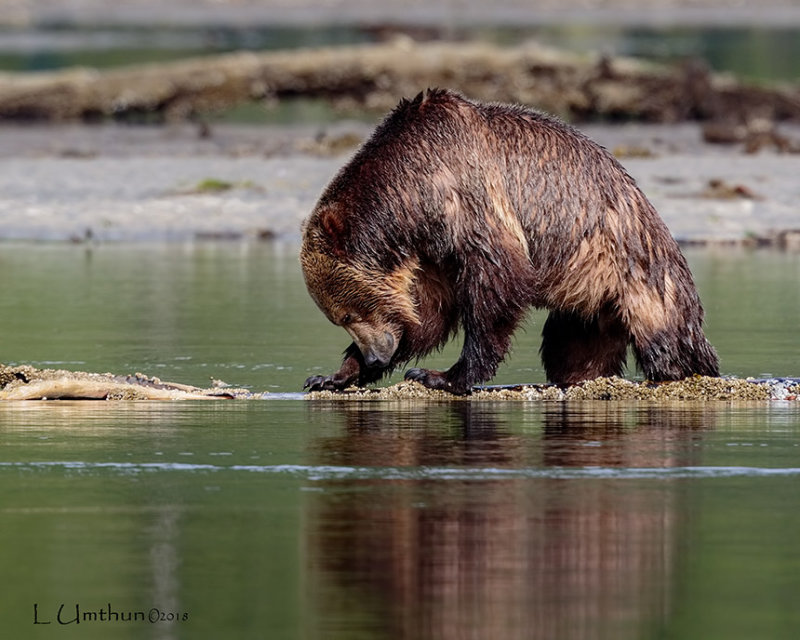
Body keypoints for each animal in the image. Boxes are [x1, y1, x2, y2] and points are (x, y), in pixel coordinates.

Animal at [302, 87, 720, 392]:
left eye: (348, 313)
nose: (376, 356)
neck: (410, 197)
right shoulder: (430, 252)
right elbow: (428, 312)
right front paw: (332, 375)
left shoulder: (470, 201)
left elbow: (496, 287)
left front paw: (442, 375)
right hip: (590, 303)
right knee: (571, 347)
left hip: (637, 277)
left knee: (666, 344)